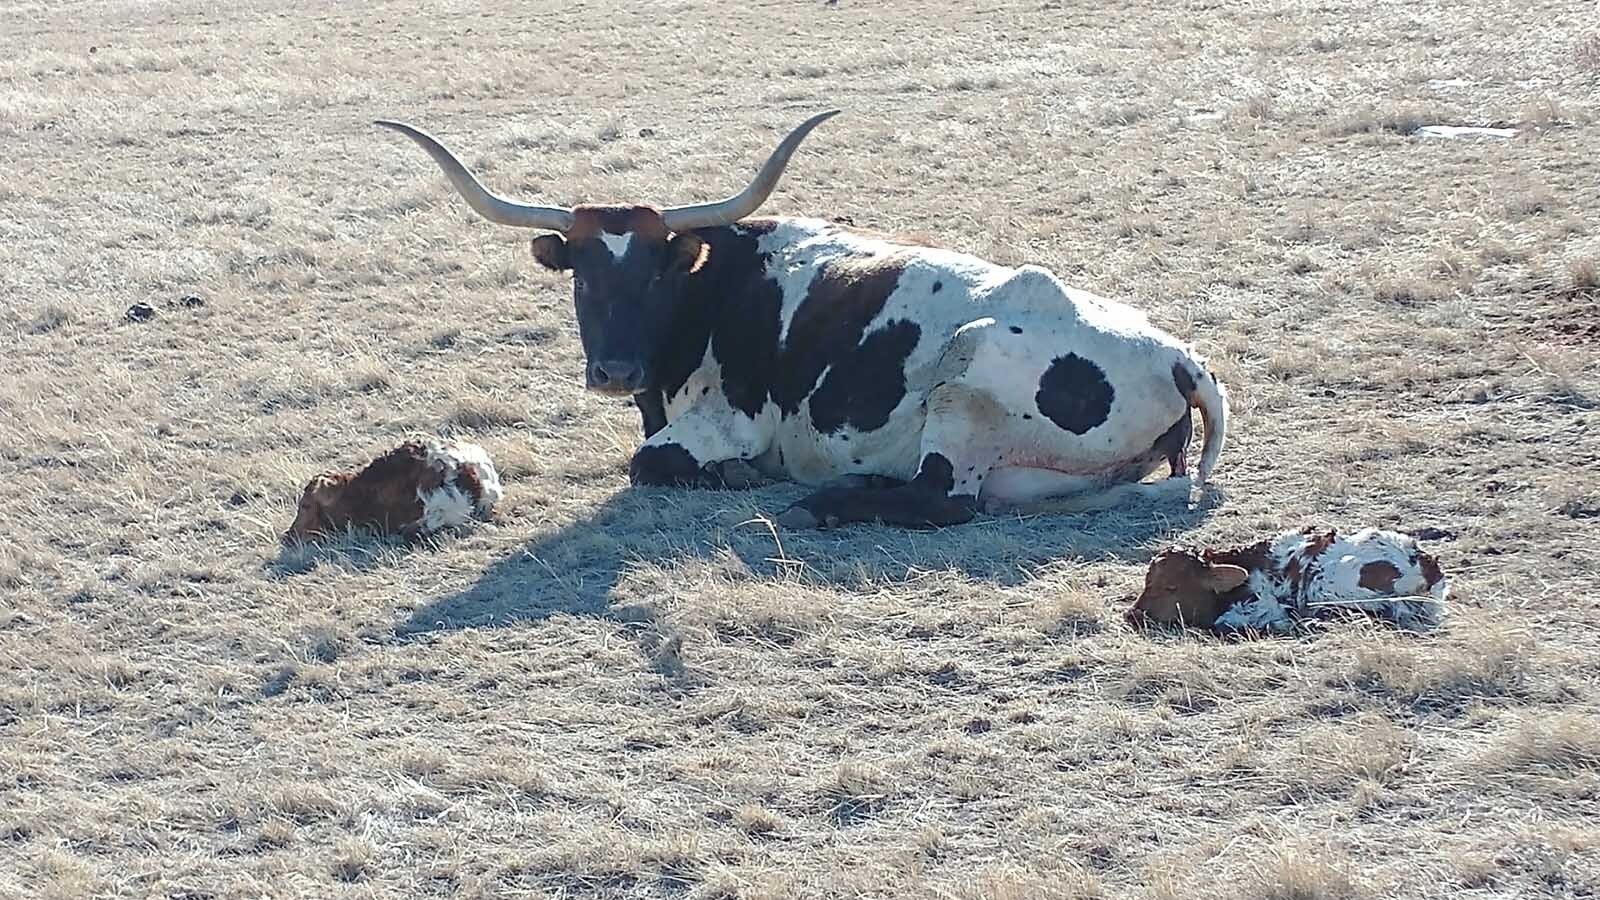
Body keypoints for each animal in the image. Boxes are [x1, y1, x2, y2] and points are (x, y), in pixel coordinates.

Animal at [373, 110, 1229, 530]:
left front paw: (738, 475)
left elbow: (650, 462)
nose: (615, 371)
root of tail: (1180, 357)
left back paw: (822, 502)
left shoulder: (721, 424)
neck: (717, 285)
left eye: (655, 273)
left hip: (967, 376)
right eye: (583, 274)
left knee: (945, 502)